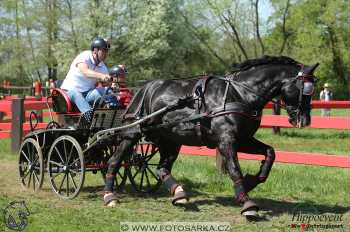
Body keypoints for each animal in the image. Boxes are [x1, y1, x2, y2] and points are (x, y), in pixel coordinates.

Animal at [102, 55, 318, 218]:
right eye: (304, 89)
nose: (304, 120)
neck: (240, 94)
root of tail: (144, 89)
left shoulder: (243, 140)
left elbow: (270, 153)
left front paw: (251, 181)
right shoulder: (226, 141)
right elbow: (234, 169)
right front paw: (247, 203)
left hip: (170, 140)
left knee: (162, 168)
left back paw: (179, 193)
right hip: (133, 133)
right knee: (114, 161)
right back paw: (109, 196)